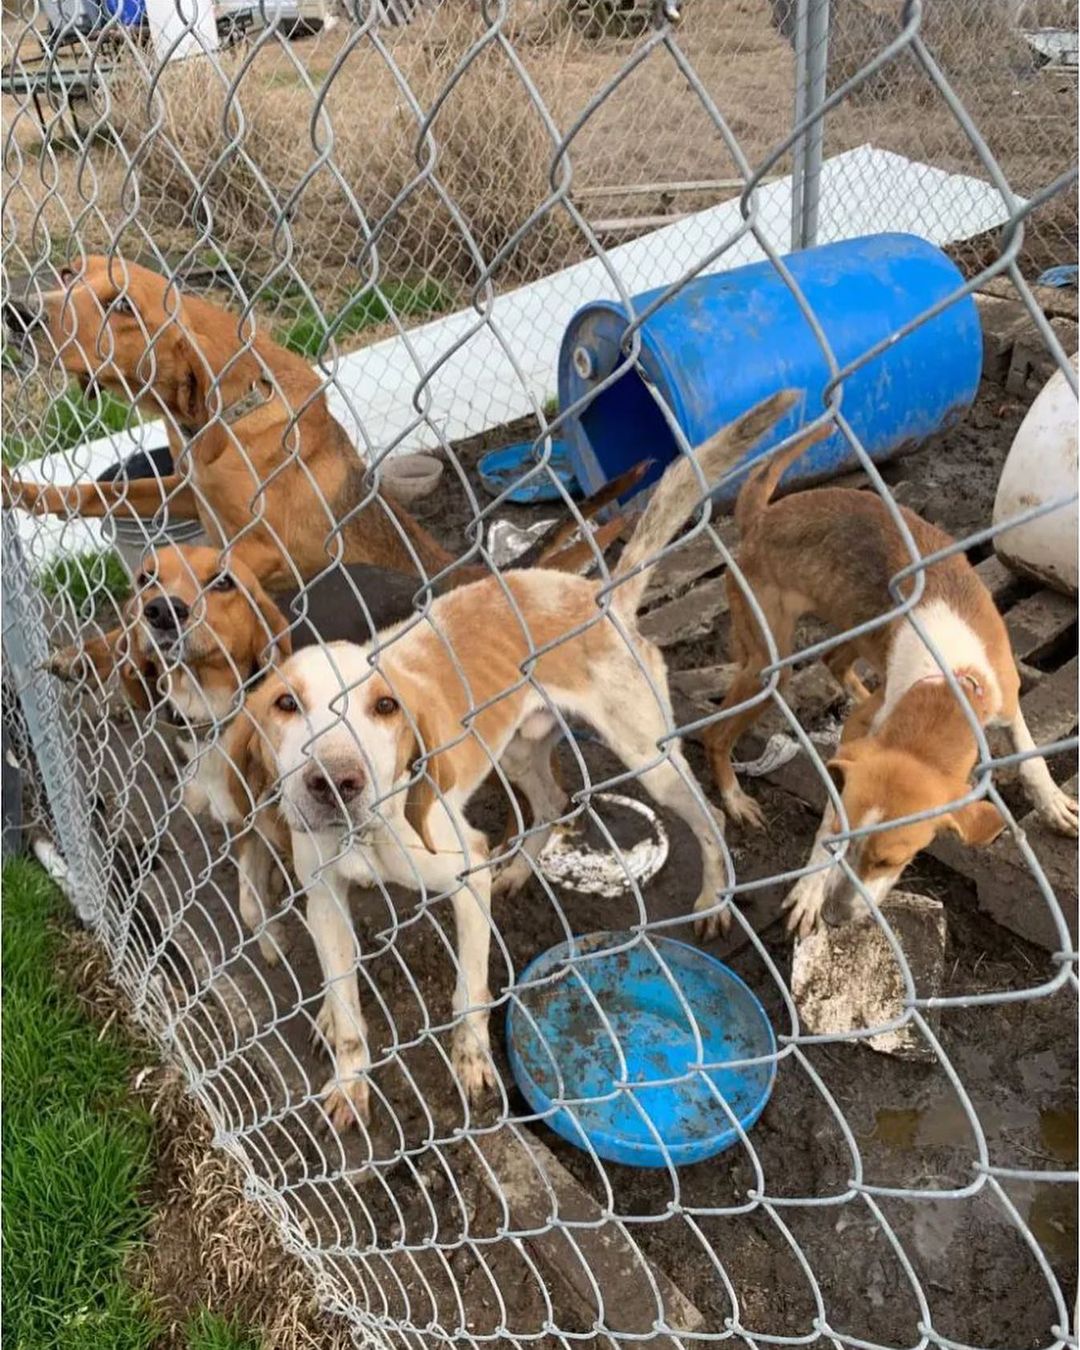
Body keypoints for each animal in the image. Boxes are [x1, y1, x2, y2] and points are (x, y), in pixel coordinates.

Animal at [4, 255, 631, 588]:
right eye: (67, 272)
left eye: (122, 308)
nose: (18, 312)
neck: (222, 418)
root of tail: (468, 574)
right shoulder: (185, 490)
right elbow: (96, 493)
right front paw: (26, 493)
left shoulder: (281, 550)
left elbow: (223, 559)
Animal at [218, 391, 799, 1128]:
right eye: (285, 704)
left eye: (386, 707)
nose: (336, 783)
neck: (369, 835)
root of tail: (599, 597)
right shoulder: (324, 897)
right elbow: (347, 1008)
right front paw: (348, 1079)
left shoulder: (463, 880)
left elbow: (468, 991)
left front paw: (471, 1065)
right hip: (522, 750)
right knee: (551, 804)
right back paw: (520, 868)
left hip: (648, 756)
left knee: (704, 816)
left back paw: (714, 897)